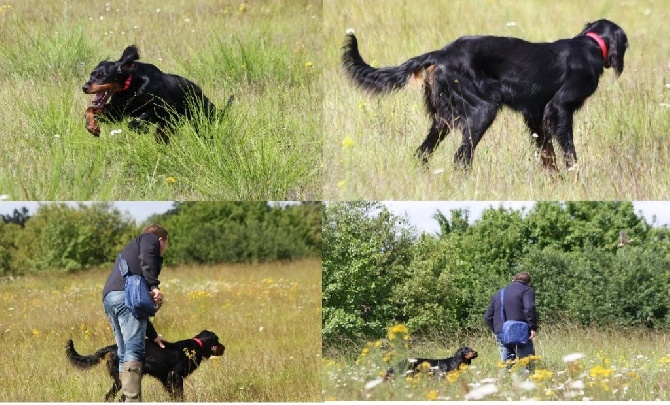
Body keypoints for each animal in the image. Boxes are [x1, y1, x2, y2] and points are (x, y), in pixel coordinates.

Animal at [66, 328, 227, 400]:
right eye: (217, 340)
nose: (224, 347)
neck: (196, 346)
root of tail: (112, 347)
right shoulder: (175, 375)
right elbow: (179, 393)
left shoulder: (166, 379)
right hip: (123, 378)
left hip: (119, 380)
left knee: (109, 396)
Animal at [81, 45, 227, 142]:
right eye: (92, 74)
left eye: (102, 75)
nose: (84, 87)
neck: (131, 85)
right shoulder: (117, 112)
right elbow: (89, 110)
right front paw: (93, 128)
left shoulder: (163, 106)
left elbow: (139, 119)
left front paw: (141, 128)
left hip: (201, 119)